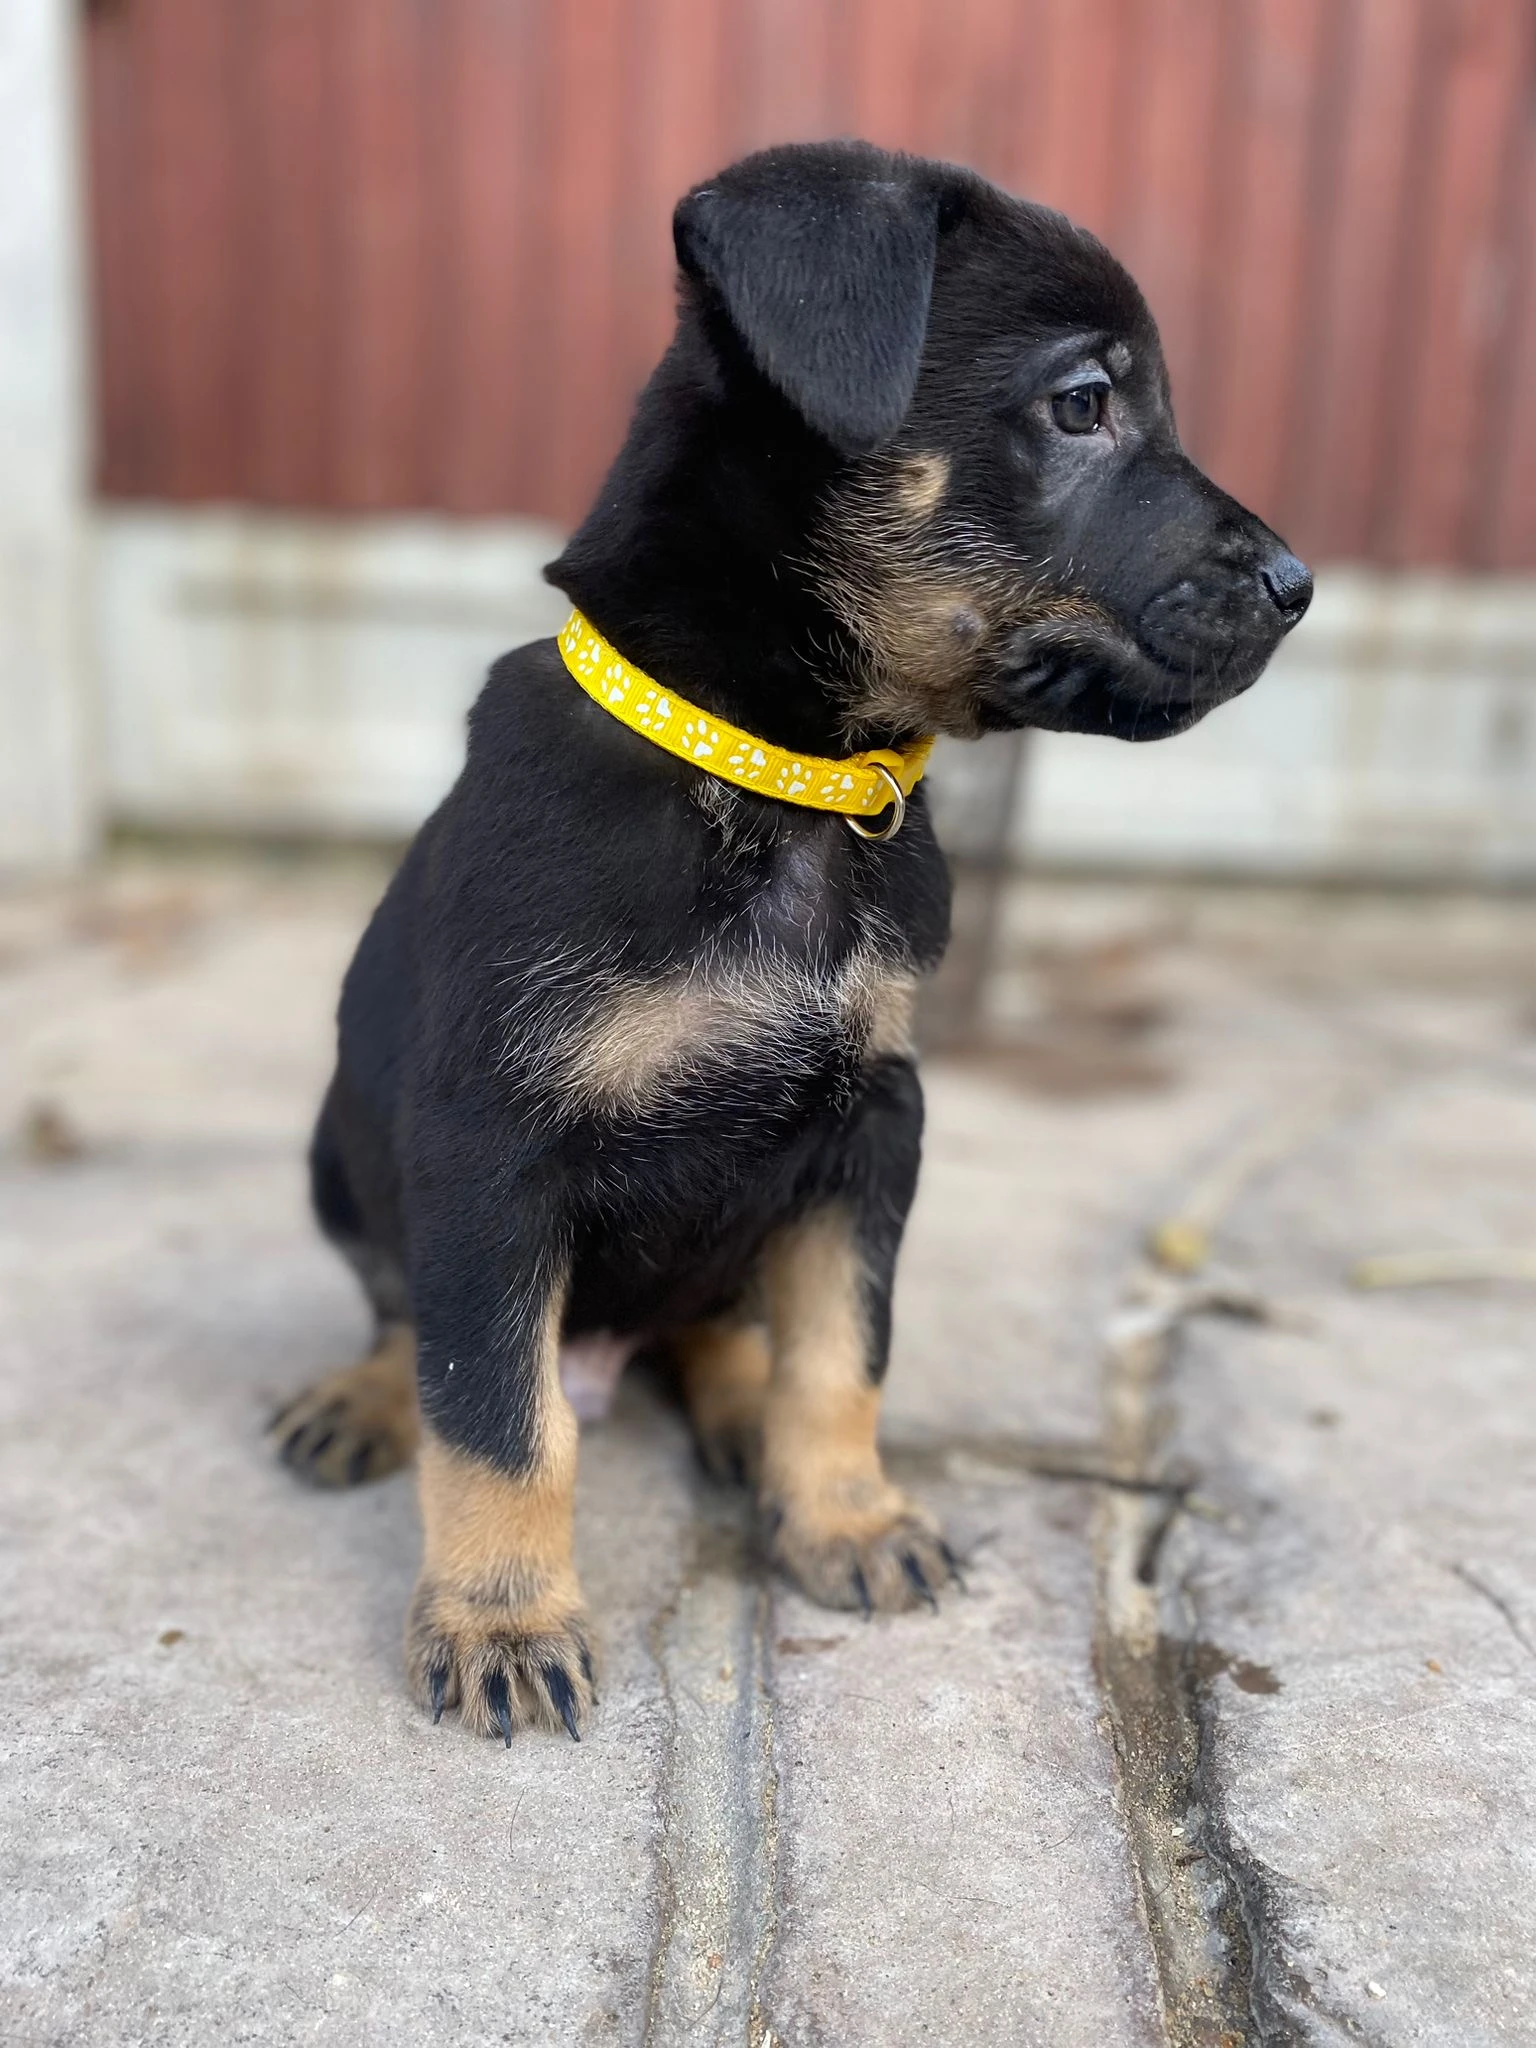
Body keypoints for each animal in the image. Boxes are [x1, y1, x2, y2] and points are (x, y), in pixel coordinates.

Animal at [268, 144, 1310, 1744]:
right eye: (1085, 401)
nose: (1302, 586)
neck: (784, 785)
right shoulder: (489, 1147)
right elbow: (498, 1409)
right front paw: (504, 1618)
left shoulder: (873, 1118)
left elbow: (841, 1350)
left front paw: (846, 1515)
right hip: (341, 1152)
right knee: (406, 1317)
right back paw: (368, 1397)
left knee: (716, 1324)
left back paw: (739, 1411)